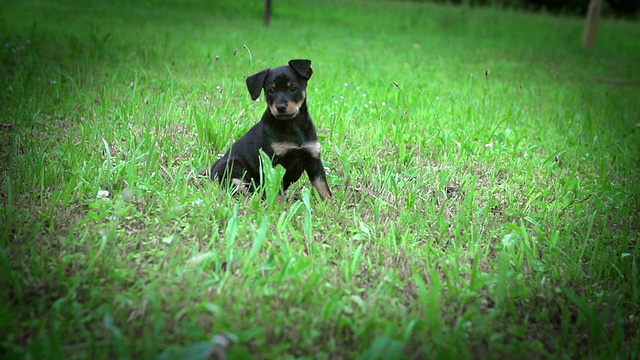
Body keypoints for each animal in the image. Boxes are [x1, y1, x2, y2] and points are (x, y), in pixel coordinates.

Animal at [211, 59, 332, 200]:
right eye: (271, 91)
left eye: (293, 88)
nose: (280, 107)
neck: (292, 124)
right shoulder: (272, 163)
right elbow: (275, 190)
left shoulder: (313, 159)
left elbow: (323, 189)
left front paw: (330, 203)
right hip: (233, 173)